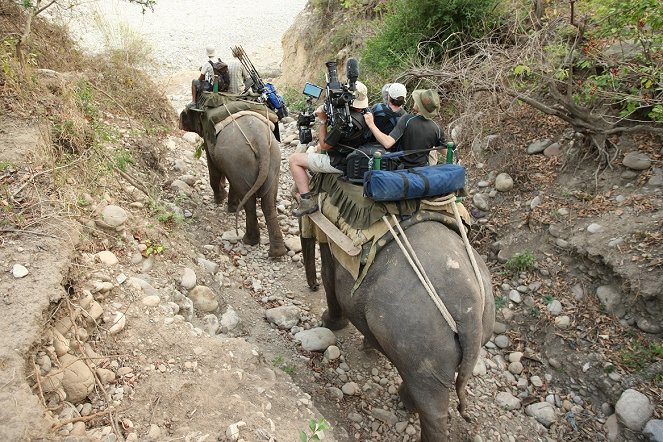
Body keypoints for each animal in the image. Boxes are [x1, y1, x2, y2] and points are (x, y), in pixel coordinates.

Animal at [180, 107, 286, 258]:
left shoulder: (209, 138)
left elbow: (213, 167)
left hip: (239, 160)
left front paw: (220, 198)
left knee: (249, 202)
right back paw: (277, 253)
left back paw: (249, 240)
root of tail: (261, 142)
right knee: (268, 202)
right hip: (272, 162)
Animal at [304, 221, 496, 442]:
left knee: (432, 405)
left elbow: (328, 273)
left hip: (420, 338)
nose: (312, 287)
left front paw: (329, 322)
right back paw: (406, 400)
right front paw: (367, 346)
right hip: (470, 330)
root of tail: (470, 313)